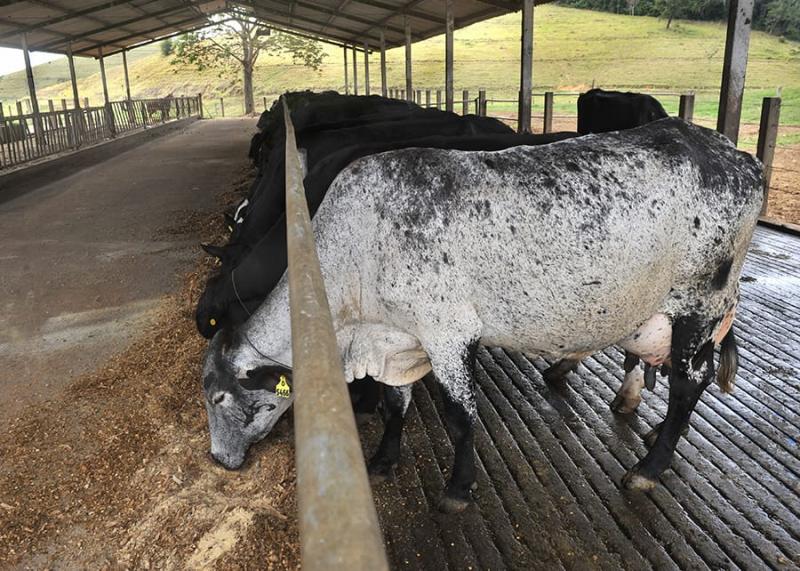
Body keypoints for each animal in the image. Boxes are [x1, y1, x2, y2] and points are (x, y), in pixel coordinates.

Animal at [200, 117, 762, 513]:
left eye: (221, 398)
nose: (217, 460)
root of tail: (734, 152)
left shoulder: (447, 332)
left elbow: (460, 415)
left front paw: (458, 487)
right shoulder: (397, 340)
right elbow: (396, 403)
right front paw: (382, 459)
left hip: (699, 303)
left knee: (690, 381)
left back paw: (649, 466)